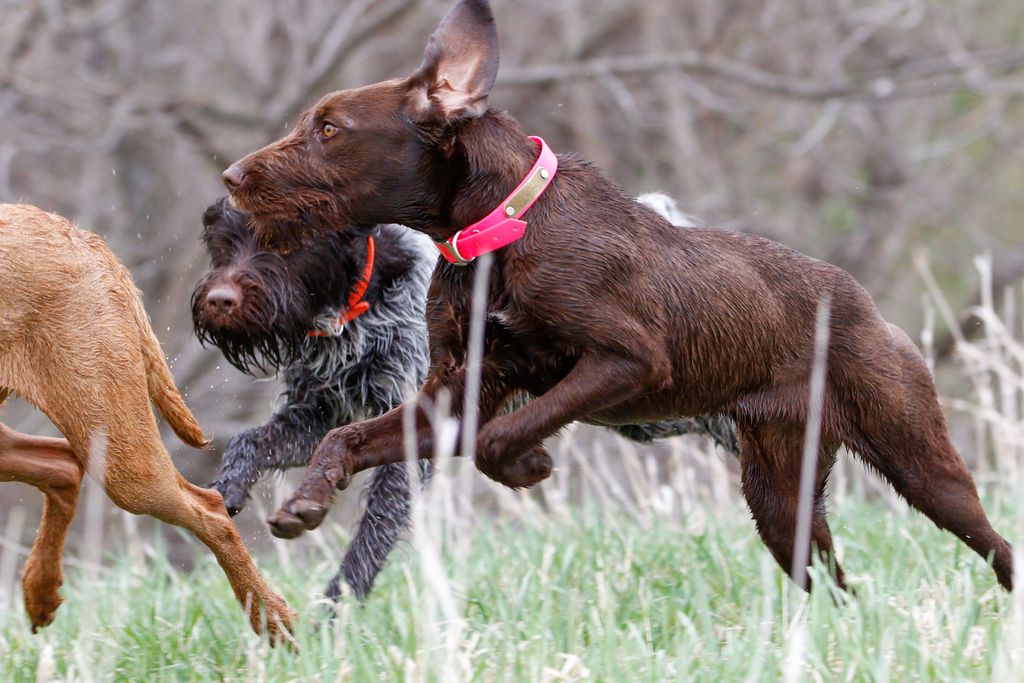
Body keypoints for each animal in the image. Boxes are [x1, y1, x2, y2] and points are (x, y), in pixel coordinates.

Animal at [1, 201, 296, 634]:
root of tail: (82, 238)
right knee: (63, 467)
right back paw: (41, 592)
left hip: (125, 461)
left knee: (211, 510)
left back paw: (274, 623)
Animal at [192, 194, 737, 602]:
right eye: (223, 245)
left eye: (279, 242)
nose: (220, 300)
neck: (357, 310)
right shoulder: (319, 413)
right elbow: (249, 443)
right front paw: (228, 490)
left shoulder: (410, 438)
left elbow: (368, 543)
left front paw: (331, 622)